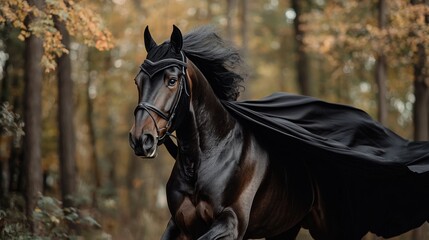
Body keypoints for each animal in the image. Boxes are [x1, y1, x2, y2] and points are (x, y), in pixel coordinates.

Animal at [129, 25, 428, 239]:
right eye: (138, 81)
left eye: (171, 80)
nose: (141, 140)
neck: (205, 158)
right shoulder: (180, 225)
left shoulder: (231, 224)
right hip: (286, 228)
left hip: (332, 230)